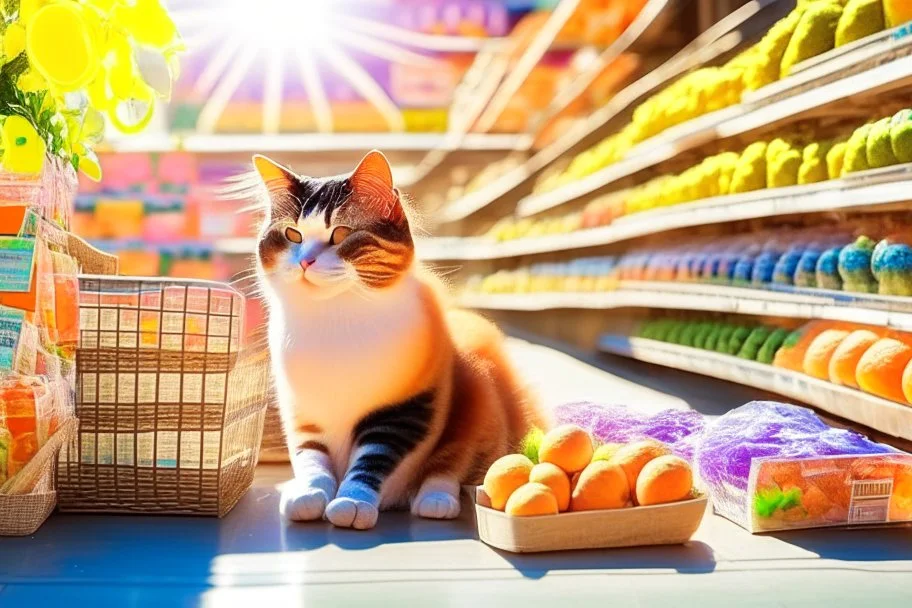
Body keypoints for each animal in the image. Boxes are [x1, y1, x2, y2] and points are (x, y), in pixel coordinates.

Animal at [248, 150, 540, 528]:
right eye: (292, 234)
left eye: (341, 233)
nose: (306, 262)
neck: (334, 320)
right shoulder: (302, 411)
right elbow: (311, 457)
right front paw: (309, 493)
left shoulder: (404, 408)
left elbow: (372, 461)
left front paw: (352, 502)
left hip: (477, 398)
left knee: (452, 465)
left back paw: (435, 499)